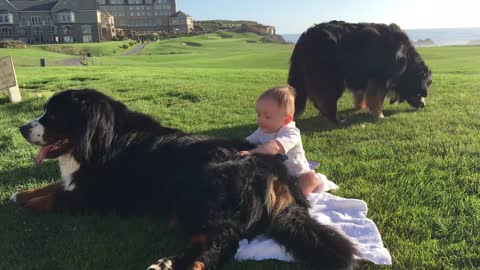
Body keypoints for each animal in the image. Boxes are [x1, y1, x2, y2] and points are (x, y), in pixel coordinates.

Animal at [11, 89, 358, 270]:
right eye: (44, 112)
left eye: (52, 115)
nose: (22, 128)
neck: (100, 137)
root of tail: (275, 171)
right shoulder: (80, 181)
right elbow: (54, 185)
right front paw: (20, 194)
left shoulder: (94, 196)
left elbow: (55, 197)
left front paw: (27, 203)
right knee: (203, 238)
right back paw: (168, 263)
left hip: (200, 194)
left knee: (223, 242)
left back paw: (192, 265)